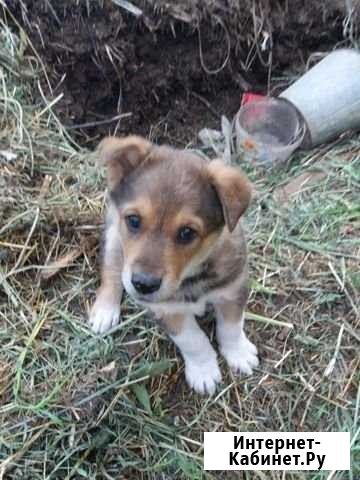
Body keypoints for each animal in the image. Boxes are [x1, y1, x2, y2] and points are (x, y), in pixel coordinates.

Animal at [89, 135, 258, 394]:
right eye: (134, 220)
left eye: (187, 233)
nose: (143, 285)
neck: (192, 276)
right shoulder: (167, 311)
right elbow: (193, 340)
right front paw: (204, 371)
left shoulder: (233, 289)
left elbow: (231, 327)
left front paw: (238, 354)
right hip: (113, 236)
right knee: (111, 268)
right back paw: (105, 311)